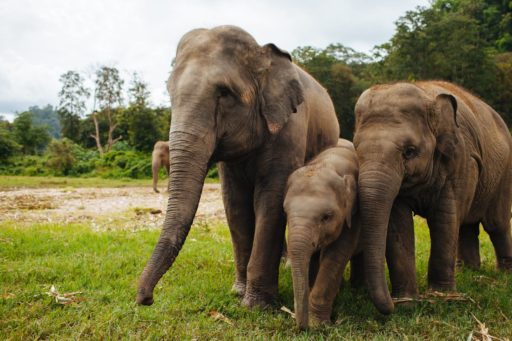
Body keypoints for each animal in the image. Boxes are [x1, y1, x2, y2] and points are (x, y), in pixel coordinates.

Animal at [136, 25, 340, 306]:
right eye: (170, 93)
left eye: (224, 93)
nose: (146, 299)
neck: (261, 52)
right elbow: (235, 203)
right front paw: (238, 292)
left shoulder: (290, 130)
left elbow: (271, 197)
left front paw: (256, 305)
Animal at [284, 138, 364, 326]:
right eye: (285, 212)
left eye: (326, 217)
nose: (301, 327)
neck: (329, 162)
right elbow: (312, 259)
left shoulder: (354, 216)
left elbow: (335, 257)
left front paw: (317, 324)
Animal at [352, 80, 512, 314]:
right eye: (356, 150)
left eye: (409, 151)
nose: (391, 306)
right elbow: (398, 222)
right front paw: (407, 302)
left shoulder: (459, 160)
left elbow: (444, 219)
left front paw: (443, 298)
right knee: (467, 224)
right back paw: (468, 270)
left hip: (504, 173)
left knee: (496, 224)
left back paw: (504, 273)